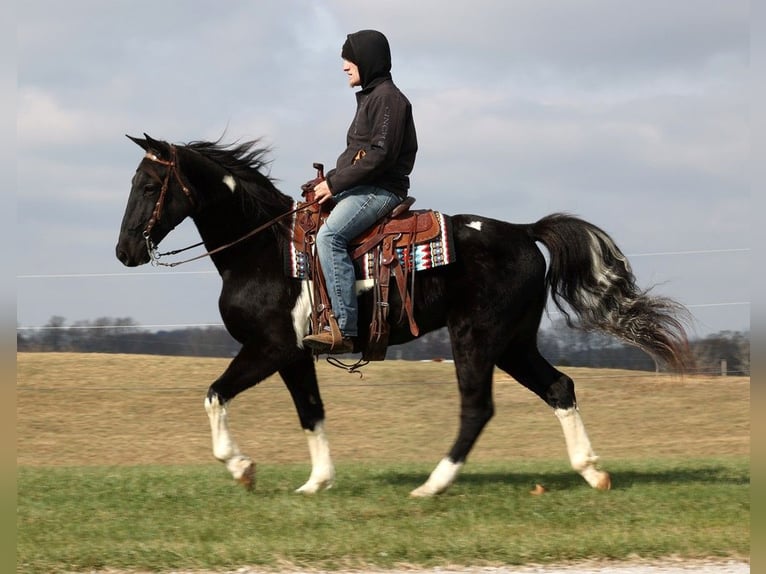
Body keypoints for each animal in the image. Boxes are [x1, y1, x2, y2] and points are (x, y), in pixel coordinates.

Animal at [115, 134, 696, 496]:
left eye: (148, 186)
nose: (125, 252)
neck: (263, 250)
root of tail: (523, 231)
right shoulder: (295, 355)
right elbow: (311, 413)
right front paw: (316, 482)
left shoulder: (269, 348)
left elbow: (215, 394)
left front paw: (242, 468)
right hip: (513, 343)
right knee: (559, 388)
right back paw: (592, 473)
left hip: (475, 339)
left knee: (477, 408)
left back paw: (433, 485)